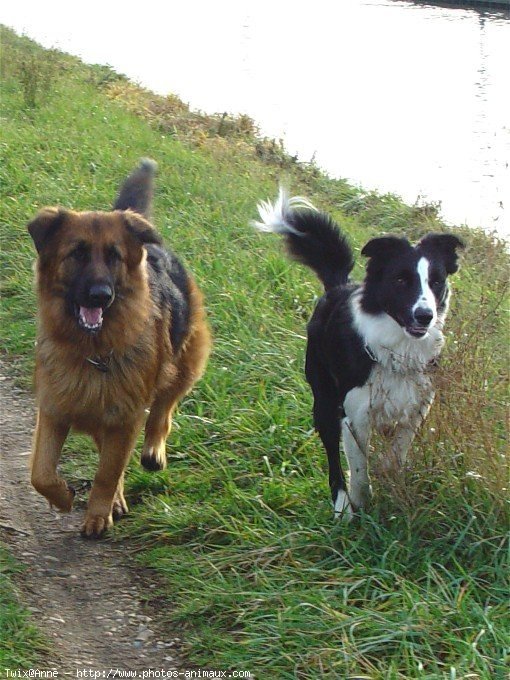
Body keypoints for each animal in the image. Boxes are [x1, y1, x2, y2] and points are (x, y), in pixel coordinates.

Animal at [26, 159, 210, 536]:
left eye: (114, 257)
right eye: (78, 253)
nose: (101, 295)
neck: (91, 350)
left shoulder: (125, 417)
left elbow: (107, 473)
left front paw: (97, 514)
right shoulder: (54, 410)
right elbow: (42, 473)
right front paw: (64, 497)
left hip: (184, 365)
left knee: (163, 409)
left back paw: (153, 451)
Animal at [253, 189, 464, 516]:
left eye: (436, 282)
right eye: (401, 280)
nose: (425, 316)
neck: (397, 349)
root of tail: (338, 287)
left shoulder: (415, 410)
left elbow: (395, 456)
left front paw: (390, 479)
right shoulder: (355, 415)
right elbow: (360, 469)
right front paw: (360, 503)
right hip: (324, 399)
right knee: (333, 456)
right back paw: (341, 504)